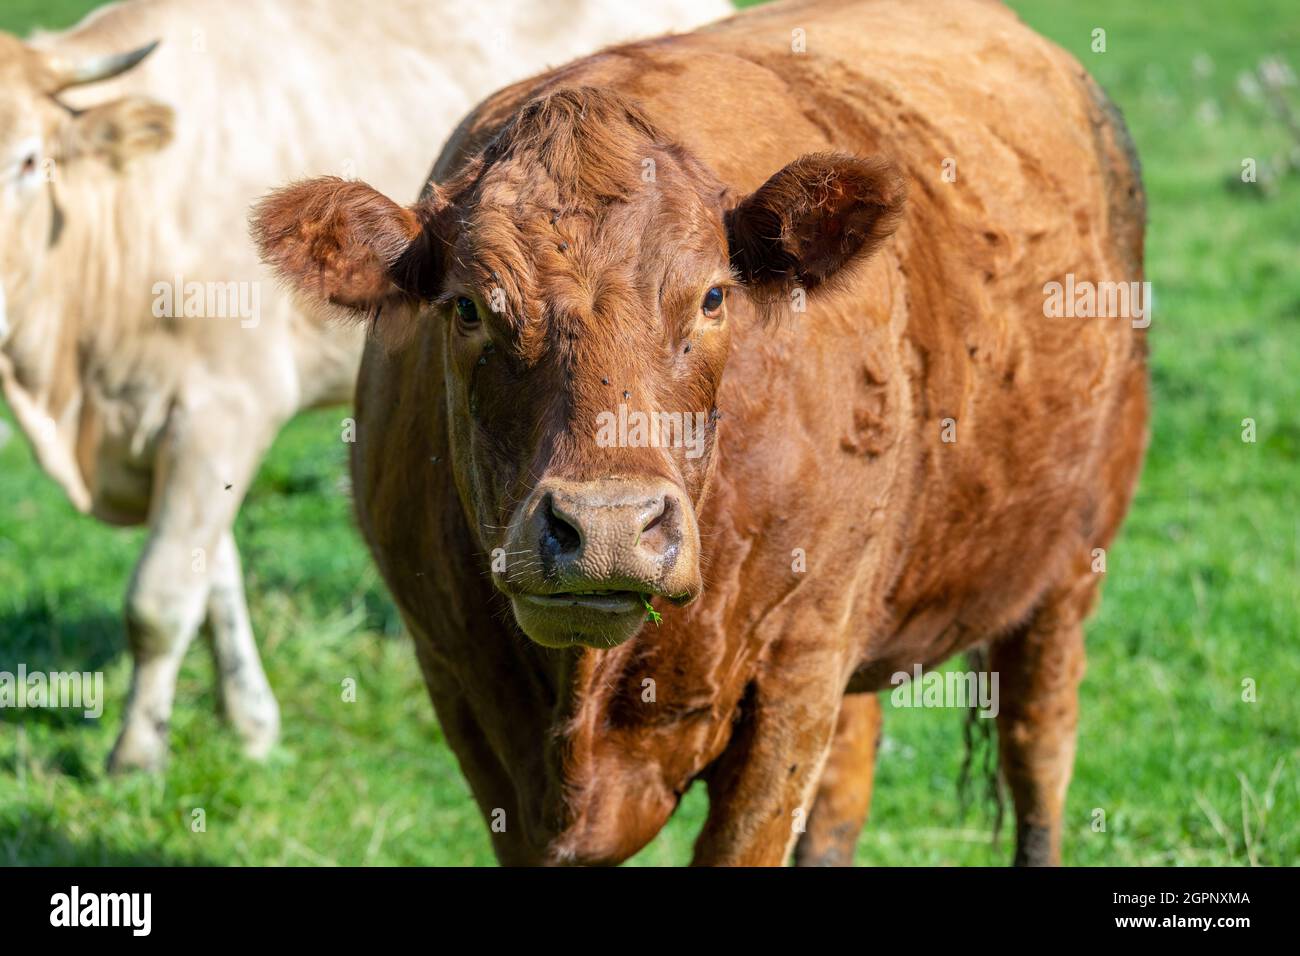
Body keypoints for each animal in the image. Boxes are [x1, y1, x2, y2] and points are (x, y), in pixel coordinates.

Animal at [0, 0, 733, 770]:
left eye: (29, 161)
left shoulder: (224, 404)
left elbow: (160, 596)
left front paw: (137, 754)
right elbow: (212, 571)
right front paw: (249, 719)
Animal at [253, 0, 1149, 868]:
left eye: (714, 297)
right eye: (469, 307)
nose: (608, 529)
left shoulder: (793, 677)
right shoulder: (462, 688)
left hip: (1066, 570)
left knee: (1038, 754)